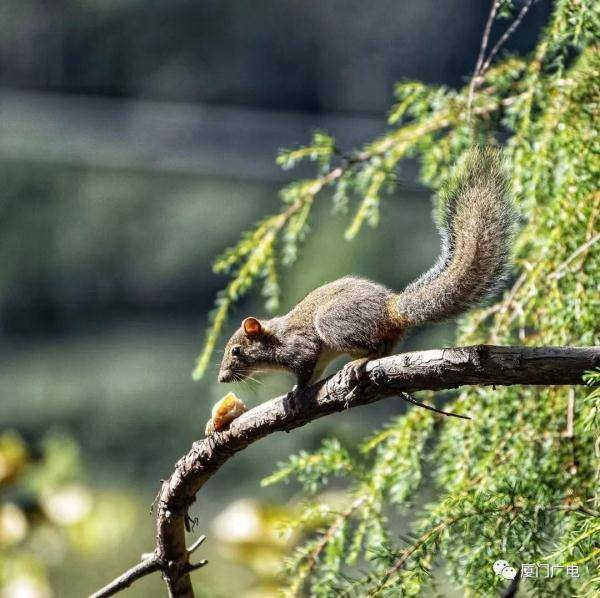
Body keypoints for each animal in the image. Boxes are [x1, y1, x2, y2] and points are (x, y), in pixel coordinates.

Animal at [218, 148, 512, 396]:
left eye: (236, 351)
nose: (221, 378)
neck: (275, 338)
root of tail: (391, 309)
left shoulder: (299, 347)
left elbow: (305, 367)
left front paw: (295, 392)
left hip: (334, 322)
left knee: (376, 348)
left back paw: (359, 362)